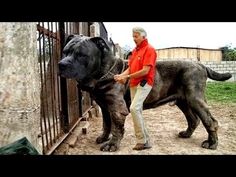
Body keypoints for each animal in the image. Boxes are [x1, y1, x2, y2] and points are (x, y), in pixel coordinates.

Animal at [58, 35, 231, 152]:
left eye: (81, 55)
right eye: (65, 52)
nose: (61, 64)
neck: (104, 71)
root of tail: (201, 64)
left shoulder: (116, 108)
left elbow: (116, 127)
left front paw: (112, 145)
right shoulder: (105, 107)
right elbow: (106, 124)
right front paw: (103, 138)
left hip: (194, 98)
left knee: (210, 121)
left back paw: (212, 143)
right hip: (183, 101)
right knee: (193, 119)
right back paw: (186, 134)